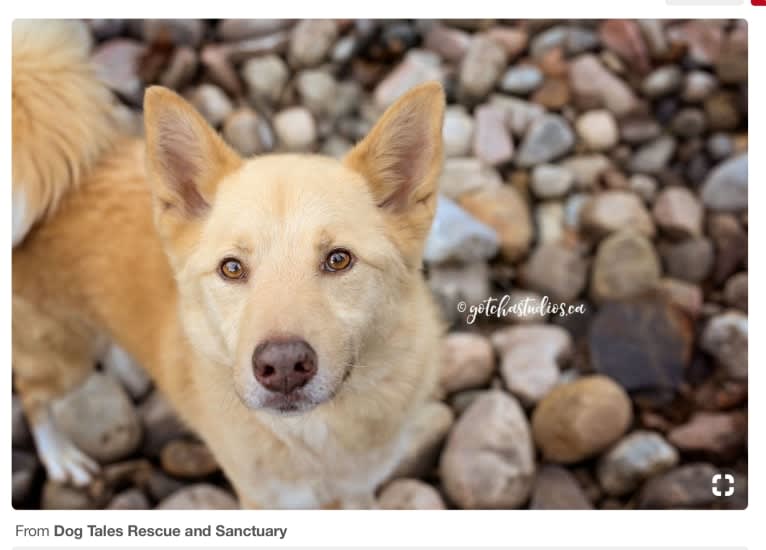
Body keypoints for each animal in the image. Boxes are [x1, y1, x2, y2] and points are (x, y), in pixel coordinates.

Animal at [12, 19, 448, 512]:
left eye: (339, 259)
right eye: (232, 268)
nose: (283, 366)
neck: (313, 437)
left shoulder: (358, 490)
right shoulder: (263, 499)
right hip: (62, 359)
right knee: (33, 396)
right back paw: (62, 457)